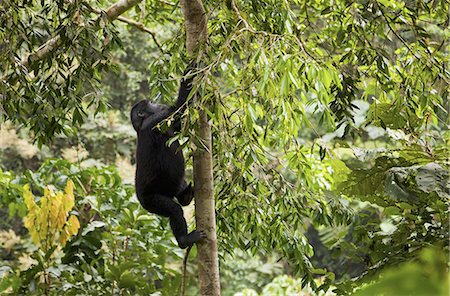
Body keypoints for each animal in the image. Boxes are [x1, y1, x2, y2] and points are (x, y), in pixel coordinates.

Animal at [130, 70, 206, 249]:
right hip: (152, 202)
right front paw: (191, 69)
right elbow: (180, 107)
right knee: (174, 210)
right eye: (150, 103)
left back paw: (185, 196)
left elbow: (181, 123)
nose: (156, 102)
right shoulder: (159, 118)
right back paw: (184, 240)